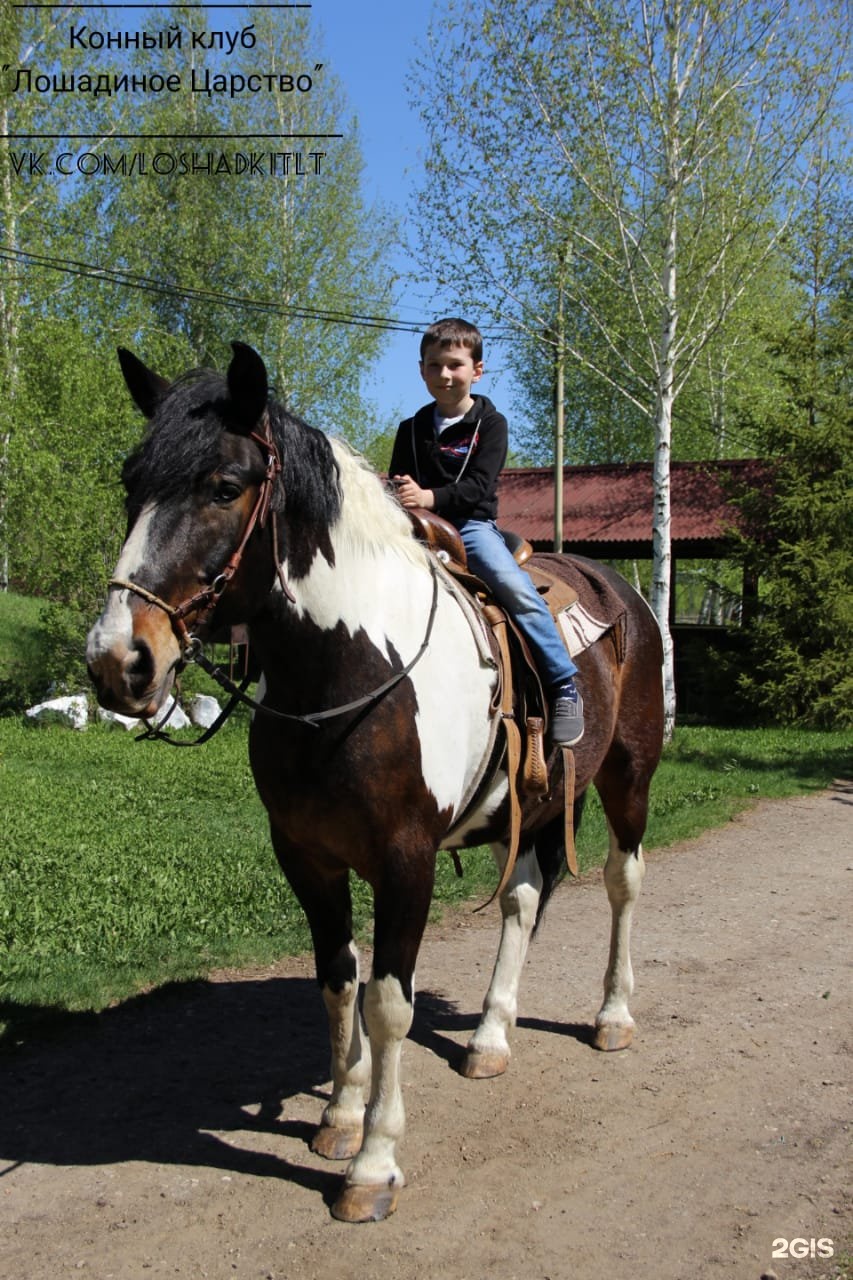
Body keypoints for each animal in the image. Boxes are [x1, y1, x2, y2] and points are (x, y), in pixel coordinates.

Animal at [89, 340, 666, 1218]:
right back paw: (490, 1036)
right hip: (532, 805)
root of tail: (625, 595)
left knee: (622, 882)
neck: (351, 664)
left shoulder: (406, 860)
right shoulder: (305, 857)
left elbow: (389, 1002)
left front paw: (371, 1163)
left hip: (628, 777)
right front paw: (337, 1114)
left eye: (224, 485)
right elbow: (337, 983)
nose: (118, 661)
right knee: (521, 901)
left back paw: (611, 1015)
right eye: (131, 480)